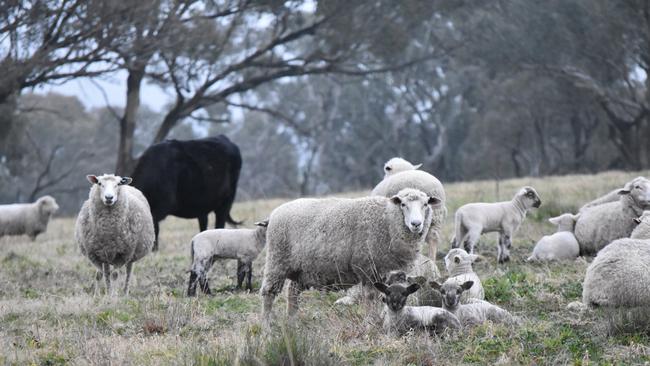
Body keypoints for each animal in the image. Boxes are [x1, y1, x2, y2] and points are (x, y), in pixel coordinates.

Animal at [260, 189, 438, 320]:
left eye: (425, 204)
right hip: (277, 260)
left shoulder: (383, 271)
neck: (387, 220)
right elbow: (370, 297)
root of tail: (274, 213)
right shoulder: (367, 268)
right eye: (403, 204)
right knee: (268, 294)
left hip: (303, 270)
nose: (416, 224)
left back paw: (292, 322)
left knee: (292, 293)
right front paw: (370, 321)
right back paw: (267, 327)